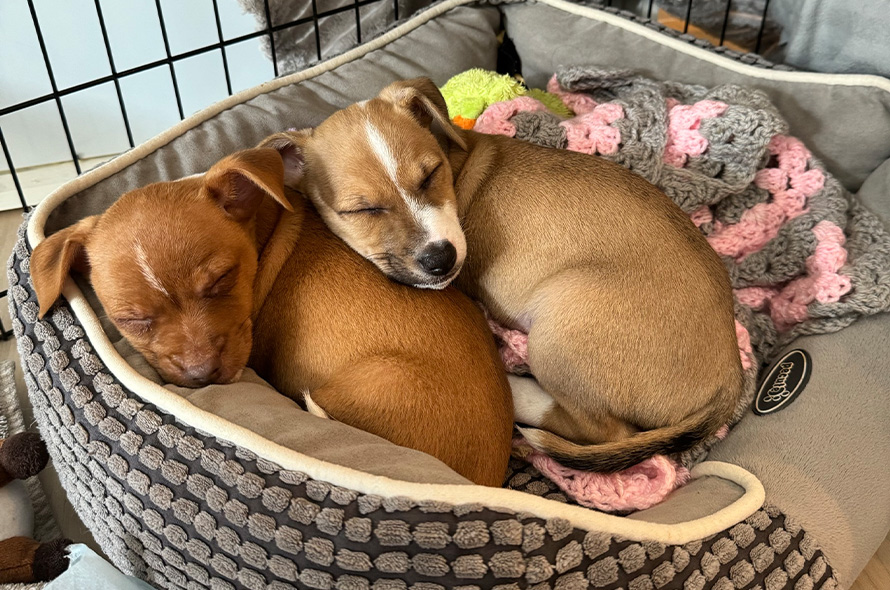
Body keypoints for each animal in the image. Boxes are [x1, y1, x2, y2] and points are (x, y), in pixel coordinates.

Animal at [268, 80, 744, 476]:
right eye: (362, 210)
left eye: (430, 174)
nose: (441, 259)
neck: (456, 167)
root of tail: (731, 378)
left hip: (564, 321)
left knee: (601, 430)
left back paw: (516, 389)